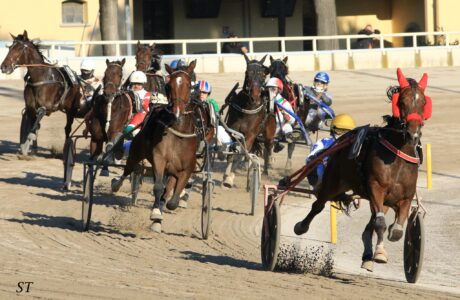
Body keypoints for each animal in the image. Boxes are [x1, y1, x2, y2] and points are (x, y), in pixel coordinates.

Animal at [110, 59, 213, 232]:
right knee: (128, 169)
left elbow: (173, 198)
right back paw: (116, 184)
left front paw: (165, 207)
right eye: (168, 86)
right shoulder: (159, 158)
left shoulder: (187, 168)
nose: (177, 113)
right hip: (136, 151)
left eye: (188, 85)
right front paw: (156, 214)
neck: (178, 131)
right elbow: (158, 187)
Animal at [294, 68, 432, 272]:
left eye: (423, 102)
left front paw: (383, 245)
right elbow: (380, 223)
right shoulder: (376, 188)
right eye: (401, 102)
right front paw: (380, 253)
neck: (397, 156)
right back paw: (301, 226)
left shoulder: (405, 197)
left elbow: (396, 231)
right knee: (318, 205)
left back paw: (367, 255)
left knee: (369, 225)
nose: (412, 134)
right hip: (333, 182)